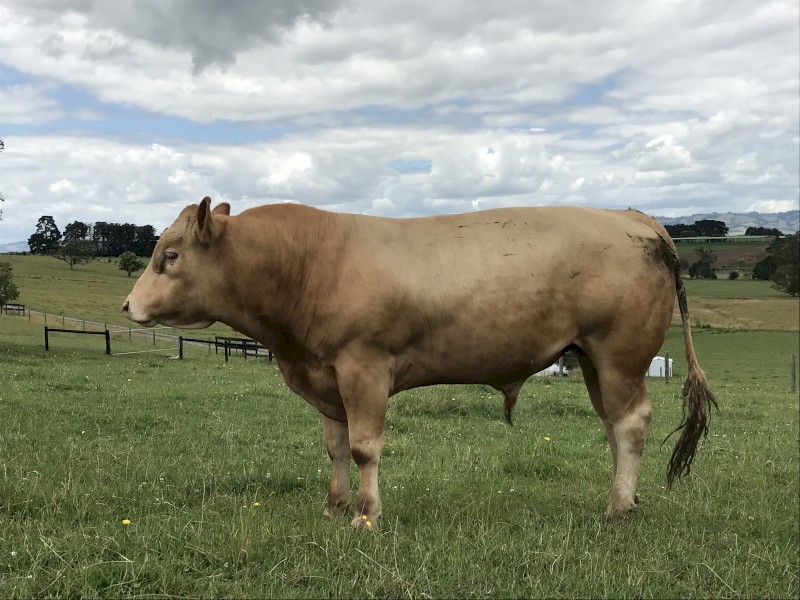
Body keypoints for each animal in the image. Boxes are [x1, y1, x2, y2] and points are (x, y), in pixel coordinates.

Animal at [123, 197, 716, 526]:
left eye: (170, 256)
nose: (128, 305)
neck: (311, 263)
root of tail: (632, 217)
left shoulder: (363, 367)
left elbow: (365, 447)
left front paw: (366, 517)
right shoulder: (327, 378)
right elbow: (337, 447)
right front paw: (333, 509)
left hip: (620, 354)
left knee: (630, 423)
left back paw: (618, 507)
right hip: (592, 358)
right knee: (614, 425)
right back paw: (624, 501)